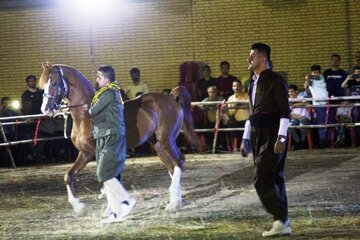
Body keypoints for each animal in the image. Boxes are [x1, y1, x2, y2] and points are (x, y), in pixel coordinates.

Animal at [39, 61, 200, 214]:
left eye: (54, 83)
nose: (45, 109)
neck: (86, 115)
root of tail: (171, 98)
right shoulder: (85, 153)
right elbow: (69, 176)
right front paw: (79, 207)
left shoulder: (99, 154)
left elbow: (108, 180)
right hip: (158, 145)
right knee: (172, 167)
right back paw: (175, 201)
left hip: (167, 140)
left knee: (179, 161)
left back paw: (174, 204)